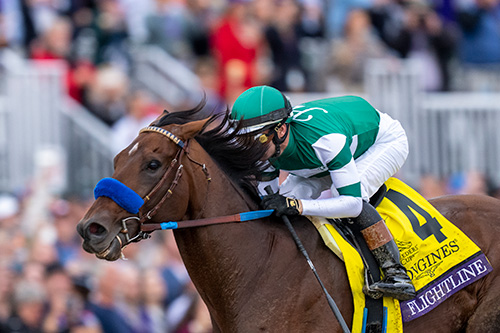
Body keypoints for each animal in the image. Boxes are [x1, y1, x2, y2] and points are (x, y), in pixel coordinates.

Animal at [76, 107, 500, 332]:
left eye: (152, 164)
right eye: (117, 159)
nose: (91, 229)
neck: (260, 266)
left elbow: (350, 201)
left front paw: (286, 205)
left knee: (358, 201)